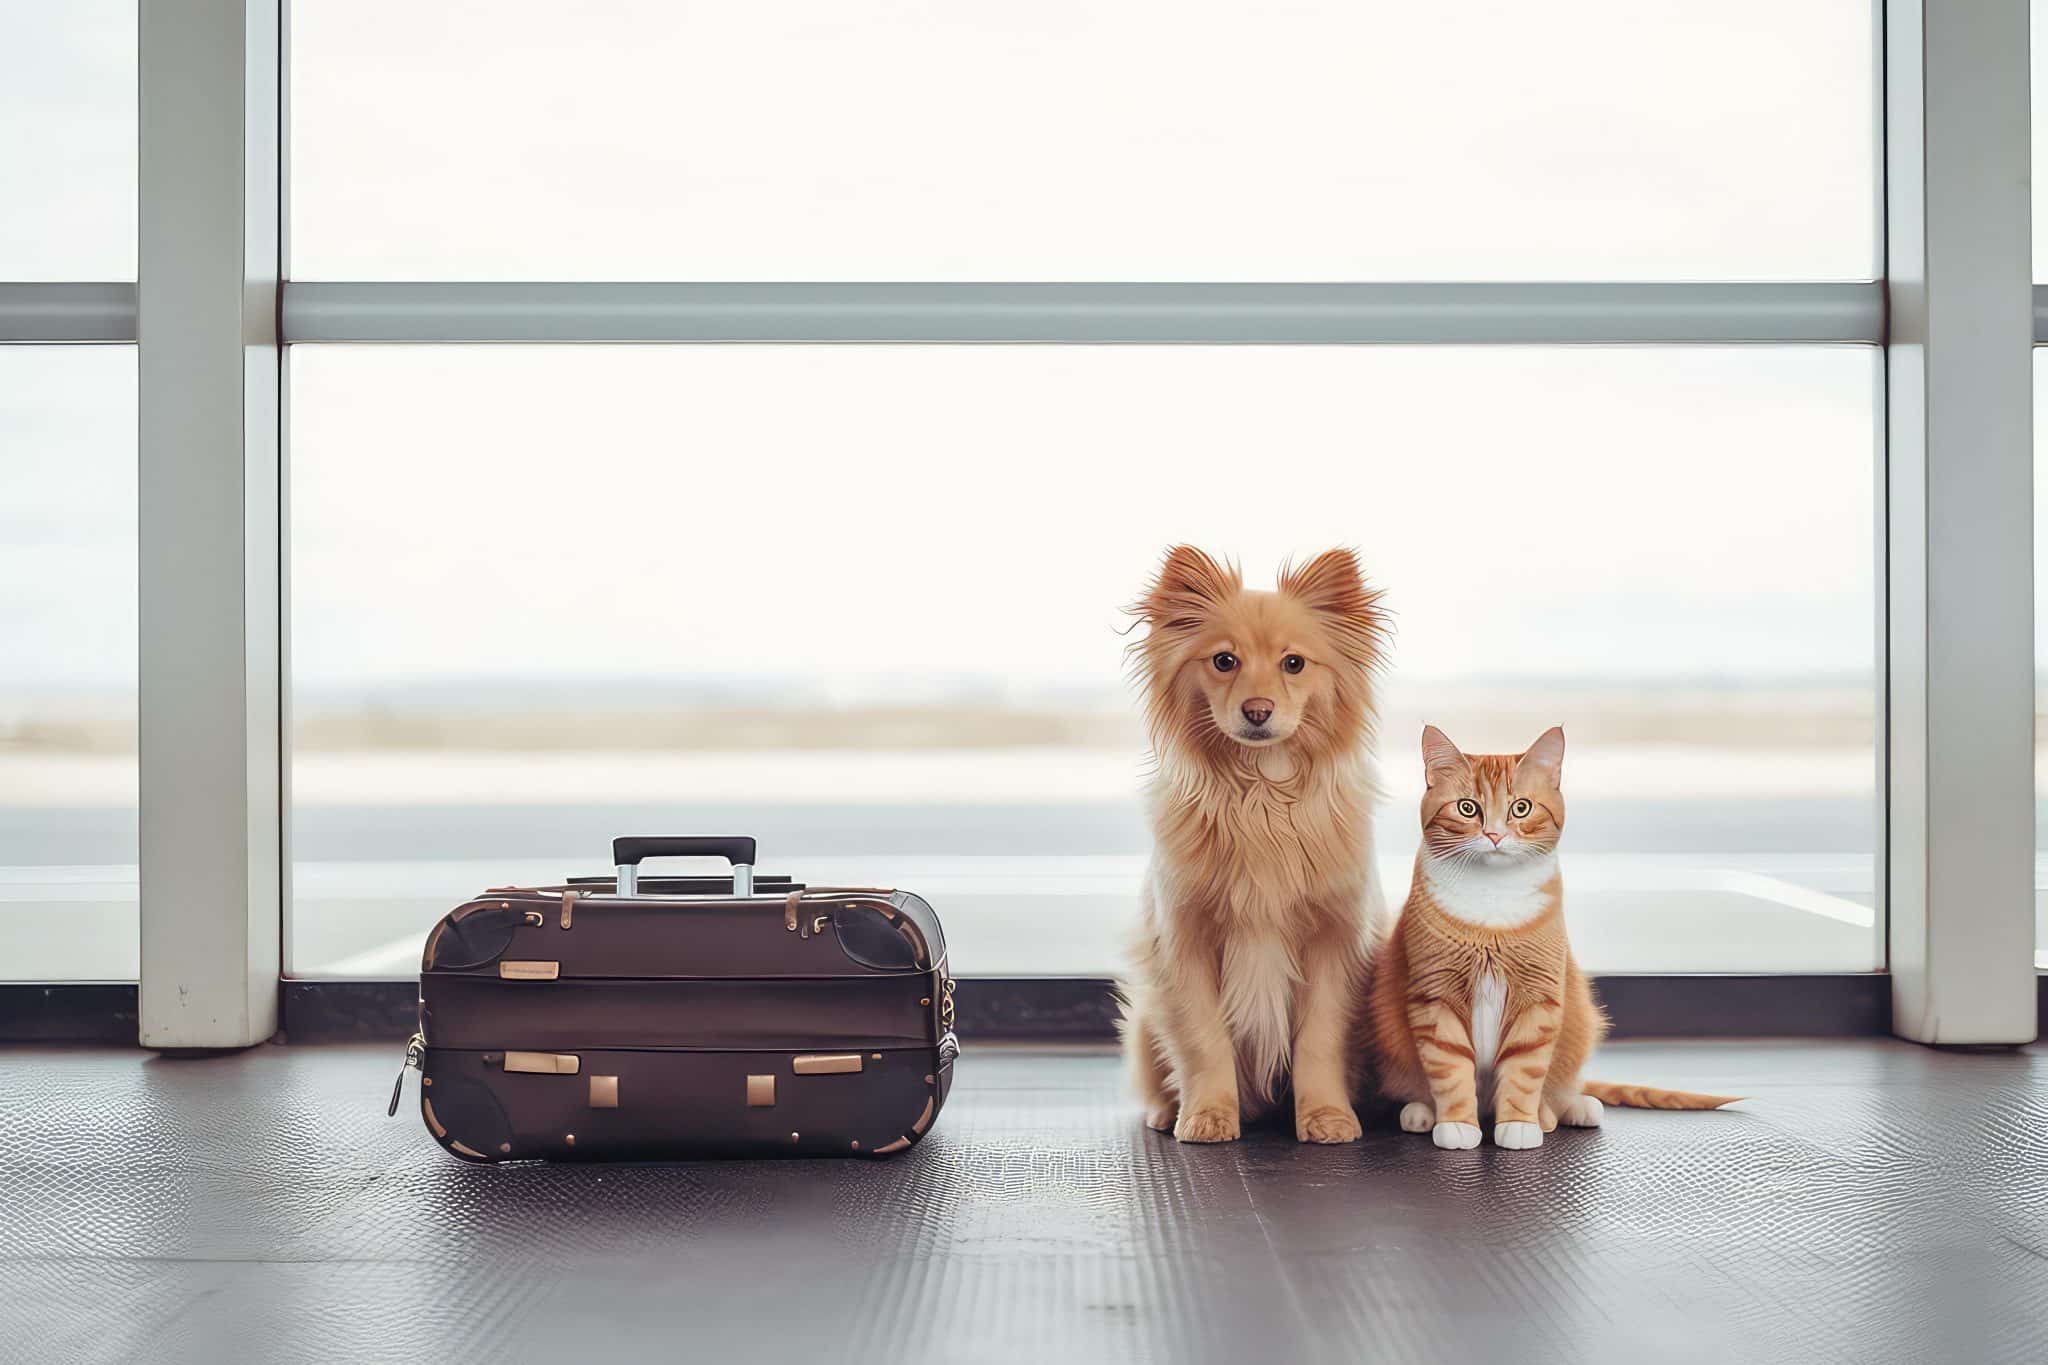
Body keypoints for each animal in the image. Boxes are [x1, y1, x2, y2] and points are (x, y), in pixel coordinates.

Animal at [1122, 544, 1392, 1146]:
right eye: (1224, 661)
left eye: (1294, 664)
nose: (1258, 711)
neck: (1262, 795)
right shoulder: (1186, 944)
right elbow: (1203, 1040)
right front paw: (1207, 1116)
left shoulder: (1333, 945)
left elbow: (1319, 1040)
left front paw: (1326, 1118)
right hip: (1146, 1019)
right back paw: (1164, 1111)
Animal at [1368, 724, 1736, 1154]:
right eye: (1468, 809)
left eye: (1521, 808)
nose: (1494, 835)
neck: (1492, 899)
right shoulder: (1436, 995)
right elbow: (1450, 1068)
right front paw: (1457, 1124)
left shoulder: (1539, 997)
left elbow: (1524, 1071)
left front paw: (1519, 1124)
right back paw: (1422, 1112)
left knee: (1562, 1089)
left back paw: (1569, 1109)